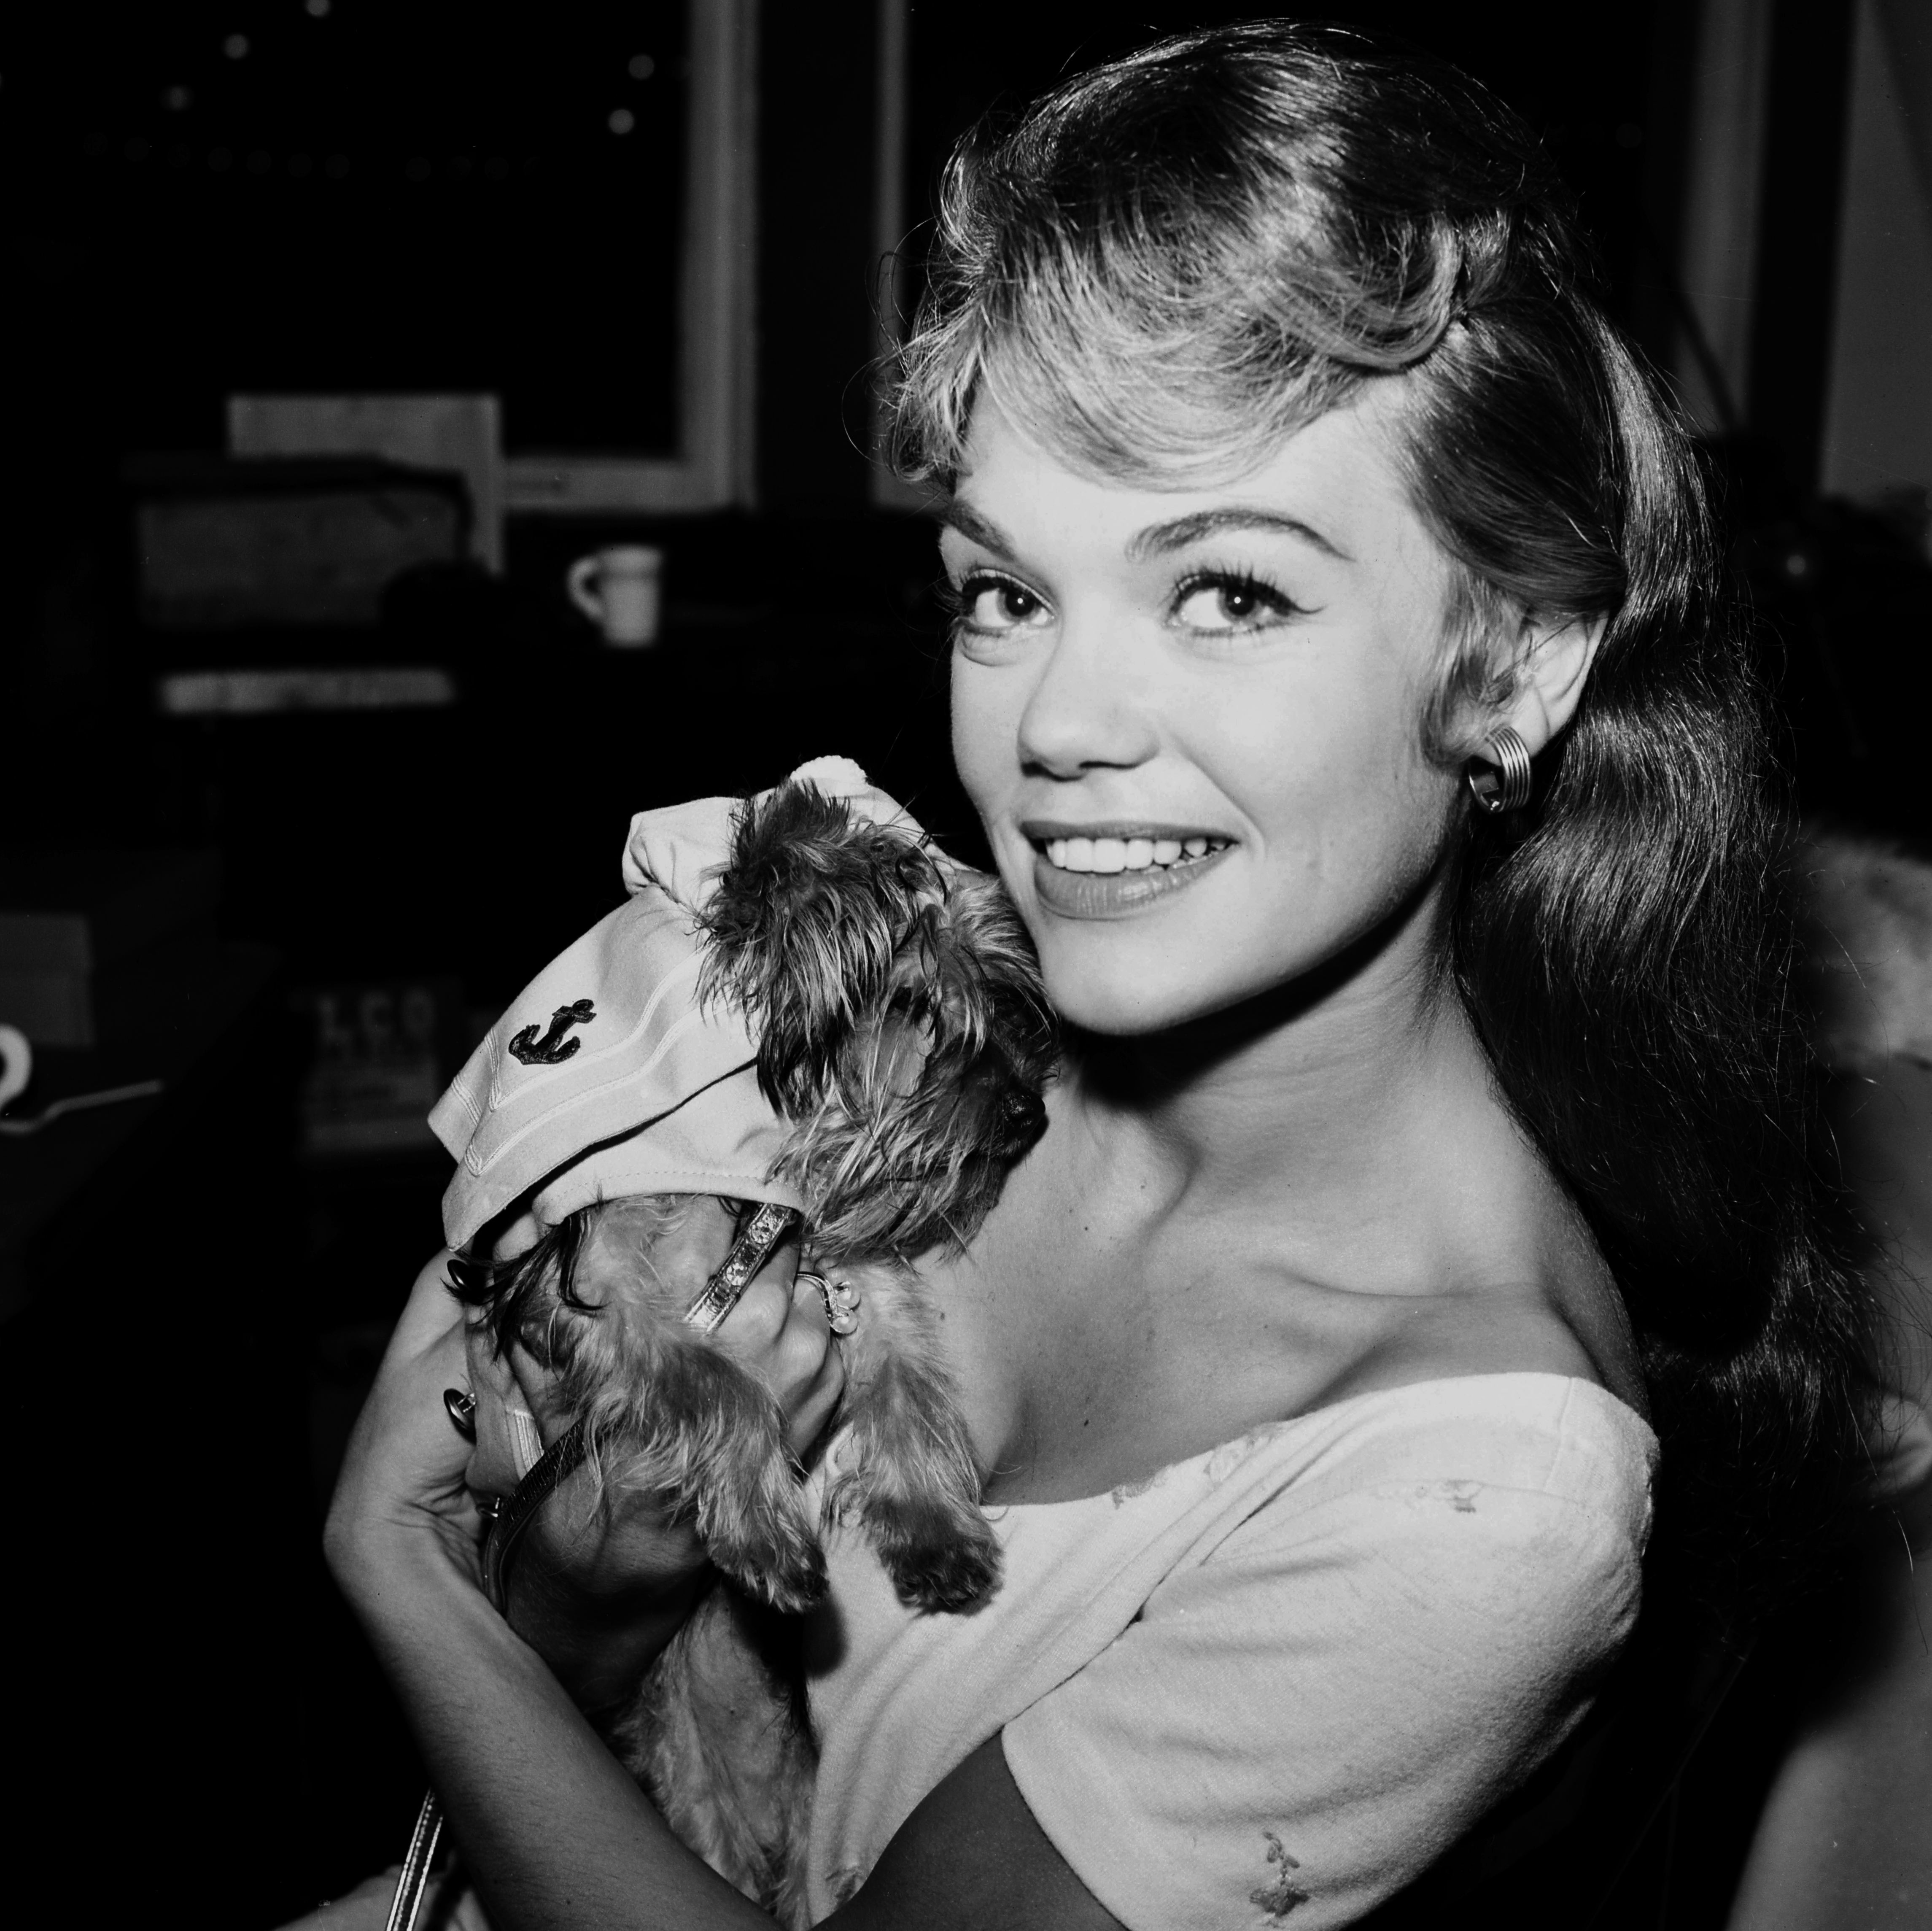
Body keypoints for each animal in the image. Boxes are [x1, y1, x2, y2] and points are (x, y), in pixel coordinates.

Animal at [452, 777, 1059, 1925]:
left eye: (1000, 1002)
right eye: (914, 1007)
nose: (1028, 1114)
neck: (742, 1155)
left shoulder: (846, 1264)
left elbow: (909, 1385)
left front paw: (932, 1528)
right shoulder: (607, 1304)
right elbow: (715, 1383)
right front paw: (767, 1535)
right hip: (693, 1787)